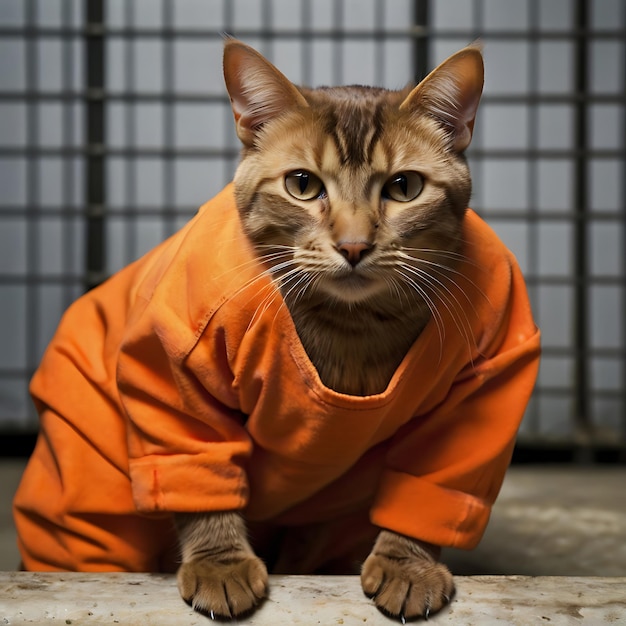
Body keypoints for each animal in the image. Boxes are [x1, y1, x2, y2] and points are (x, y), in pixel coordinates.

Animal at [174, 39, 482, 620]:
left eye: (404, 187)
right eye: (302, 185)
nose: (355, 245)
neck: (352, 325)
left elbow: (432, 483)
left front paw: (407, 566)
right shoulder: (180, 368)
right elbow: (197, 465)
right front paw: (219, 563)